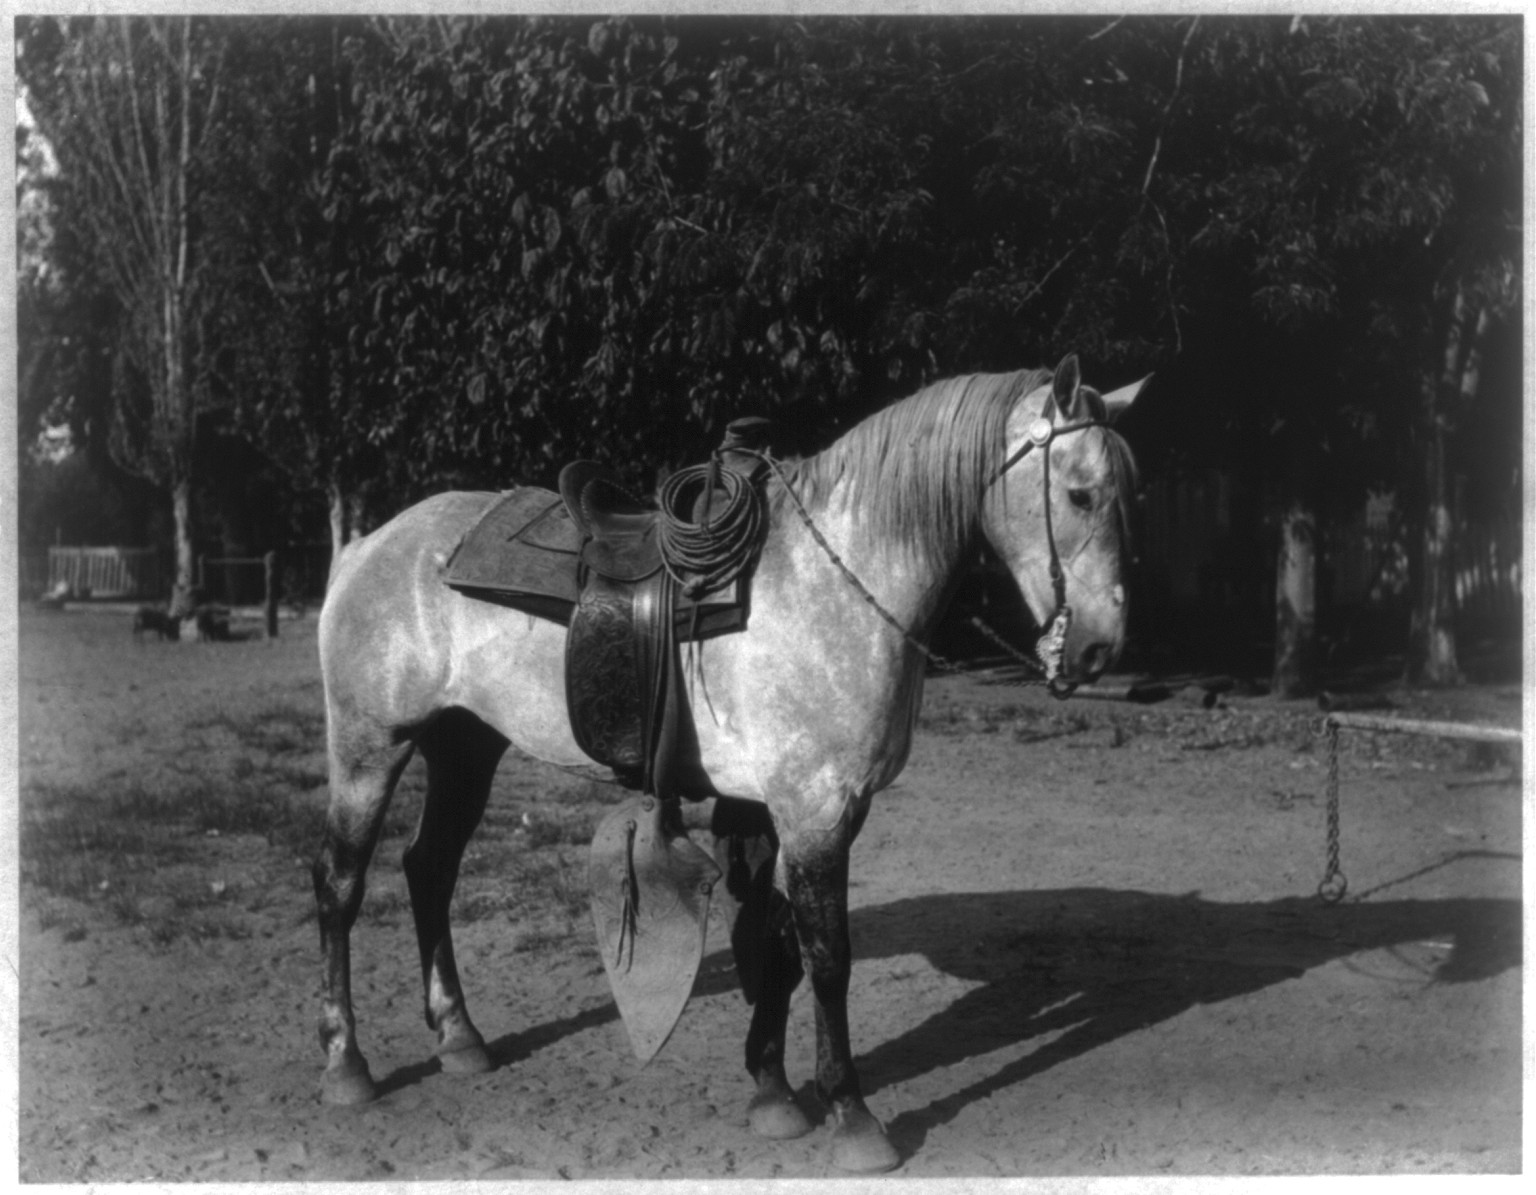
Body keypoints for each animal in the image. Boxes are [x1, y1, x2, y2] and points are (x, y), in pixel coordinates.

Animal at [311, 353, 1144, 1172]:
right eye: (1079, 493)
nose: (1100, 648)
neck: (836, 577)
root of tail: (366, 546)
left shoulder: (796, 809)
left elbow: (774, 943)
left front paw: (773, 1093)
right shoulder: (814, 809)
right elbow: (827, 956)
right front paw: (851, 1114)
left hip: (464, 746)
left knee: (429, 868)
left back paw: (459, 1037)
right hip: (369, 747)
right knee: (341, 885)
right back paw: (346, 1063)